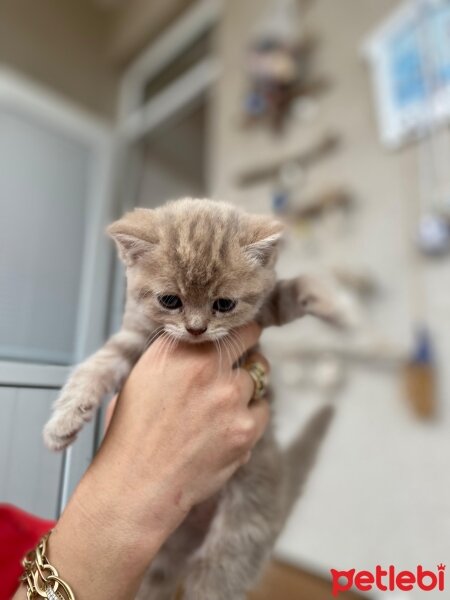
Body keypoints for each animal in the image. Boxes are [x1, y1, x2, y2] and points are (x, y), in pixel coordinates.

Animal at [44, 200, 342, 600]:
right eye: (170, 300)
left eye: (224, 304)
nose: (196, 329)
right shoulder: (135, 336)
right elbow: (97, 365)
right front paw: (63, 423)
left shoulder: (263, 309)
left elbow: (290, 292)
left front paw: (338, 307)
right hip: (161, 553)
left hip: (239, 535)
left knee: (214, 577)